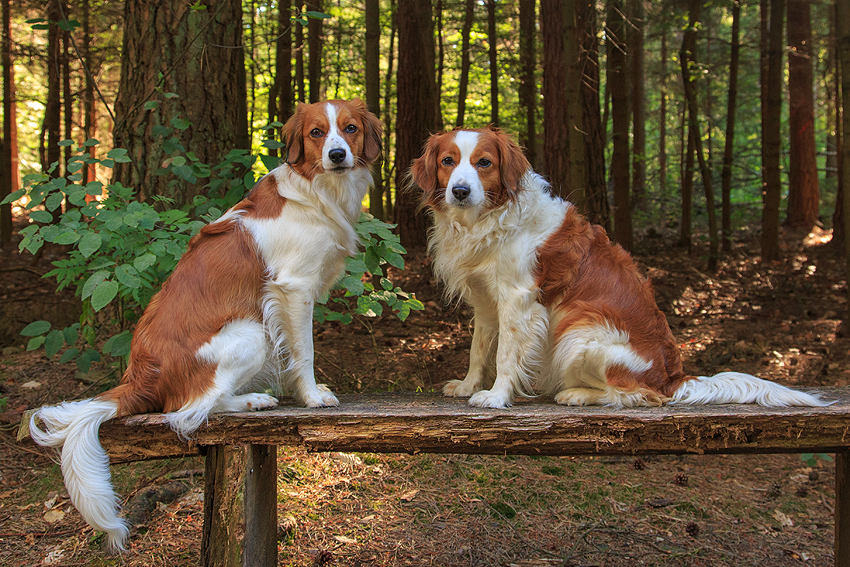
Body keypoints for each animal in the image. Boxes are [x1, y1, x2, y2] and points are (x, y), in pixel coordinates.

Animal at [29, 98, 380, 556]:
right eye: (317, 133)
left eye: (350, 128)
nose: (337, 155)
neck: (316, 191)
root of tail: (139, 375)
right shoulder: (294, 289)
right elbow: (304, 353)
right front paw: (312, 397)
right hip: (252, 334)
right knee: (189, 411)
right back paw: (251, 401)